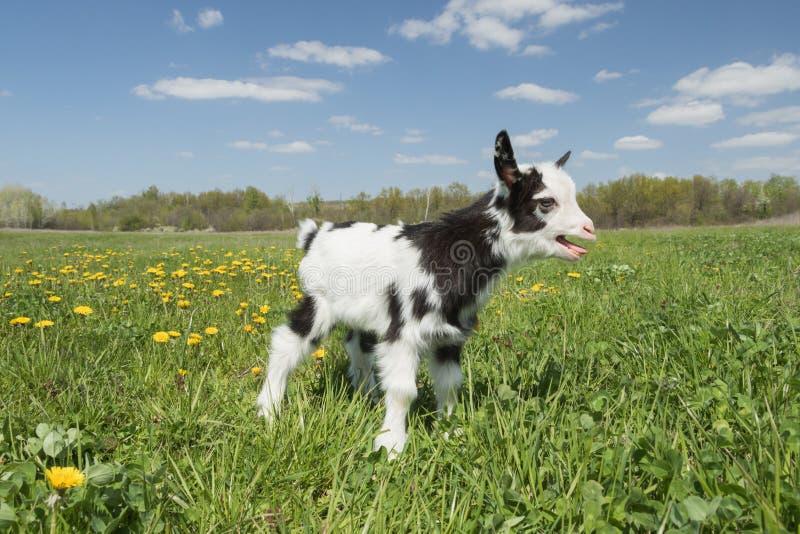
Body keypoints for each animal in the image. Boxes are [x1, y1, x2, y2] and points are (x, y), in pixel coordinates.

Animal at [256, 130, 596, 457]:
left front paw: (451, 432)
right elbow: (403, 390)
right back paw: (268, 410)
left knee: (357, 347)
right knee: (287, 342)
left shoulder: (449, 335)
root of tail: (315, 234)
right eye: (546, 202)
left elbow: (449, 384)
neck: (446, 252)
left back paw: (369, 397)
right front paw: (391, 446)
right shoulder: (404, 332)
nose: (589, 228)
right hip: (319, 302)